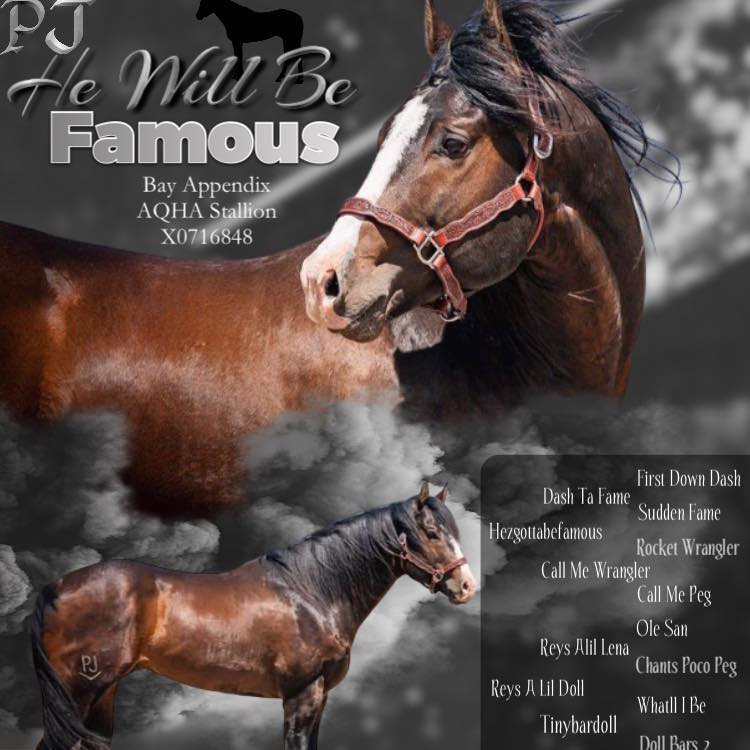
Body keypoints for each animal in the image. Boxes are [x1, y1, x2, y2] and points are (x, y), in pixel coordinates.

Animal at [31, 484, 476, 750]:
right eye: (432, 533)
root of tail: (55, 587)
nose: (467, 586)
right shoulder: (301, 695)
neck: (312, 591)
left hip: (102, 696)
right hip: (78, 693)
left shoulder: (320, 697)